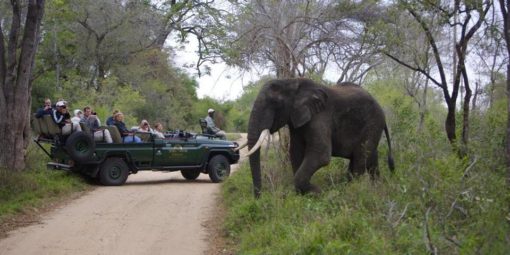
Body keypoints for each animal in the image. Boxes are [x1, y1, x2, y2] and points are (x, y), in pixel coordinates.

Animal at [245, 77, 396, 197]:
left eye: (275, 104)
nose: (259, 198)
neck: (292, 81)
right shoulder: (297, 120)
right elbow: (295, 153)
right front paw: (304, 196)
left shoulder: (320, 117)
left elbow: (320, 155)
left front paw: (319, 192)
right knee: (369, 159)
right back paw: (376, 188)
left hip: (373, 123)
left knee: (360, 158)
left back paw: (353, 191)